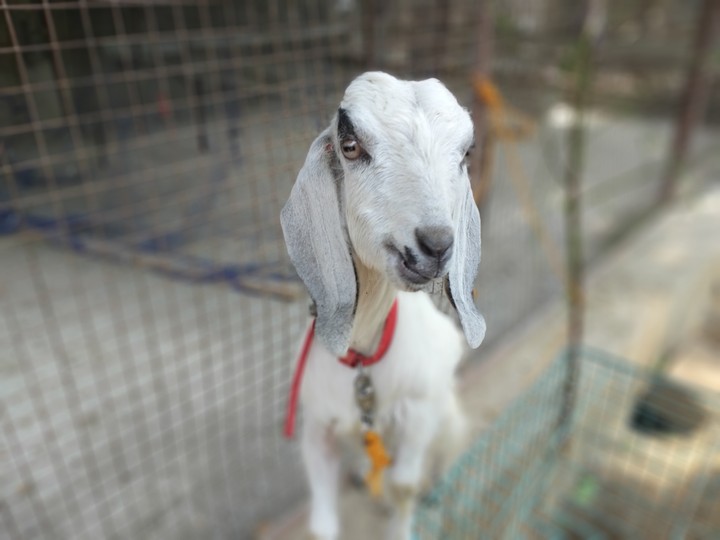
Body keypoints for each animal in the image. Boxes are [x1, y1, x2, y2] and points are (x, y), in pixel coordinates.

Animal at [281, 71, 485, 540]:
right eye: (350, 145)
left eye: (466, 152)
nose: (435, 246)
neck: (362, 359)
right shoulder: (318, 428)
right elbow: (321, 524)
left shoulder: (420, 412)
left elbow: (404, 486)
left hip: (449, 417)